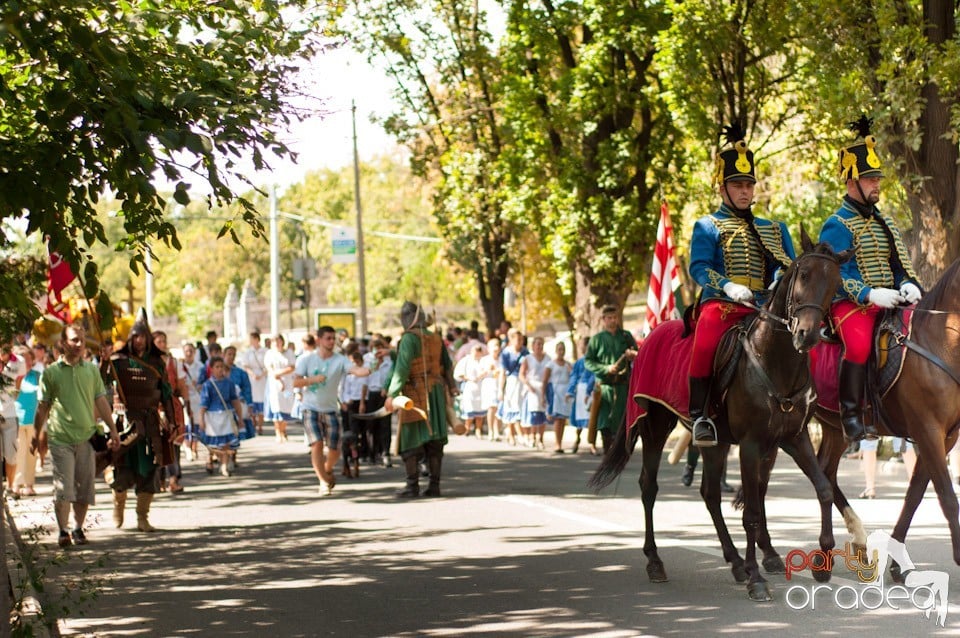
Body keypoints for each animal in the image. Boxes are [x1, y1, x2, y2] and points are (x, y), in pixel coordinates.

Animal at [588, 228, 852, 604]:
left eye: (835, 282)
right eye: (802, 274)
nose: (808, 334)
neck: (775, 360)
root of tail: (648, 337)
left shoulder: (793, 437)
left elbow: (824, 489)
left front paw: (823, 559)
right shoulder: (752, 444)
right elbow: (752, 511)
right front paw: (758, 577)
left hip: (715, 442)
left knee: (710, 493)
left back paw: (735, 561)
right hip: (656, 426)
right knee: (649, 487)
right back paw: (656, 561)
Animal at [812, 256, 960, 580]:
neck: (942, 339)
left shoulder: (943, 436)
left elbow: (914, 494)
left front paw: (897, 563)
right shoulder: (927, 430)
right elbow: (946, 494)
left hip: (834, 427)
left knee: (825, 473)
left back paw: (839, 547)